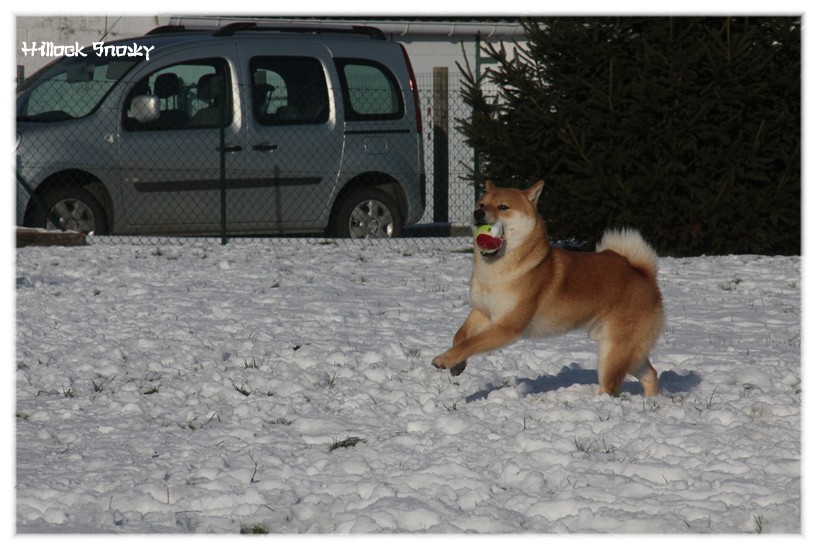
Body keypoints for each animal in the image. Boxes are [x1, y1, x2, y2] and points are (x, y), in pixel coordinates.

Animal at [430, 182, 668, 396]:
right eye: (481, 203)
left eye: (503, 207)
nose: (477, 213)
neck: (496, 272)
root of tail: (644, 275)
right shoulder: (482, 312)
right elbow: (460, 336)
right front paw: (457, 365)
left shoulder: (507, 327)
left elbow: (471, 343)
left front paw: (444, 359)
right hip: (627, 350)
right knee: (650, 373)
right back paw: (652, 401)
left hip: (612, 353)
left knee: (610, 387)